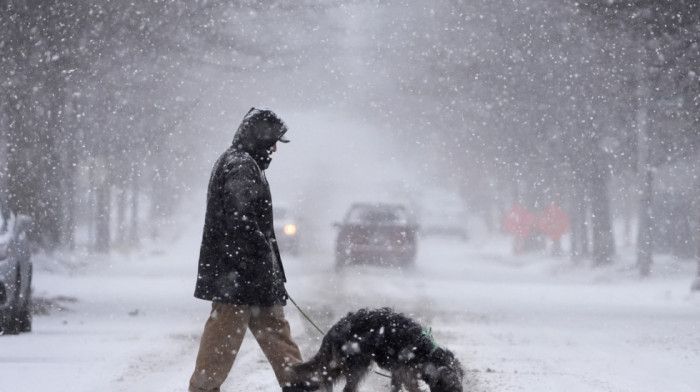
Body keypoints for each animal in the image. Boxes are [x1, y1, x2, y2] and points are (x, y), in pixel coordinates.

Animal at [292, 308, 464, 392]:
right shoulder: (406, 373)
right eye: (451, 388)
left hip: (339, 363)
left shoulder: (398, 373)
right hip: (356, 364)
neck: (426, 353)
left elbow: (396, 387)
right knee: (345, 387)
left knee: (325, 376)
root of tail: (333, 330)